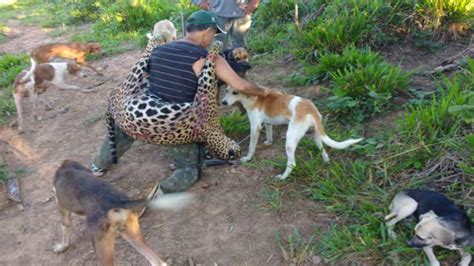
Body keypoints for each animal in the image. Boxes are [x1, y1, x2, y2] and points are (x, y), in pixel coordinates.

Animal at [52, 160, 193, 266]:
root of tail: (116, 201)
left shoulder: (62, 209)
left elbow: (64, 227)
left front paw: (62, 247)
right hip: (132, 234)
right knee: (158, 262)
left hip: (102, 249)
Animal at [222, 88, 362, 180]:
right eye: (226, 90)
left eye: (234, 92)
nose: (223, 102)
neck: (253, 98)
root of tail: (311, 109)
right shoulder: (268, 123)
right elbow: (269, 133)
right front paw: (269, 142)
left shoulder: (255, 127)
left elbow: (251, 146)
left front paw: (247, 158)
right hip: (315, 135)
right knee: (324, 151)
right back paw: (326, 161)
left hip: (290, 140)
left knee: (291, 163)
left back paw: (283, 177)